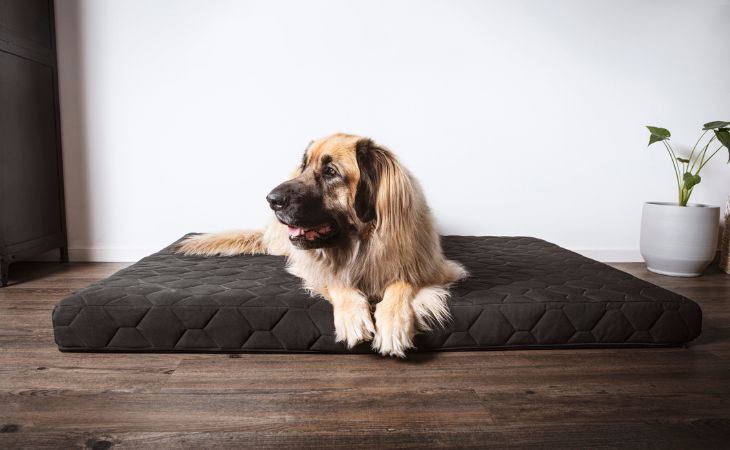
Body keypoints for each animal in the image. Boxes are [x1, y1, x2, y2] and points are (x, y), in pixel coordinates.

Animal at [179, 132, 470, 356]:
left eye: (330, 172)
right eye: (304, 166)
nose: (271, 199)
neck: (361, 244)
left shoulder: (432, 268)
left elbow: (402, 283)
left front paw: (392, 324)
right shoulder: (312, 267)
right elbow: (336, 279)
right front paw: (353, 317)